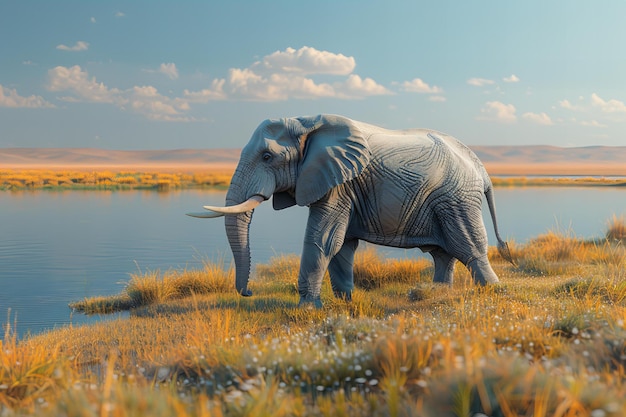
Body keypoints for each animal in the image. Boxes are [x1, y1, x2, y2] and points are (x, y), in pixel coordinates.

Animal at [186, 113, 512, 306]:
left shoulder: (339, 182)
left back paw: (492, 292)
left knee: (468, 247)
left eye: (267, 157)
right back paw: (436, 294)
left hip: (456, 198)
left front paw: (308, 308)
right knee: (442, 253)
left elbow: (323, 239)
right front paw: (345, 302)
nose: (248, 293)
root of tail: (482, 169)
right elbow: (341, 244)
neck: (306, 122)